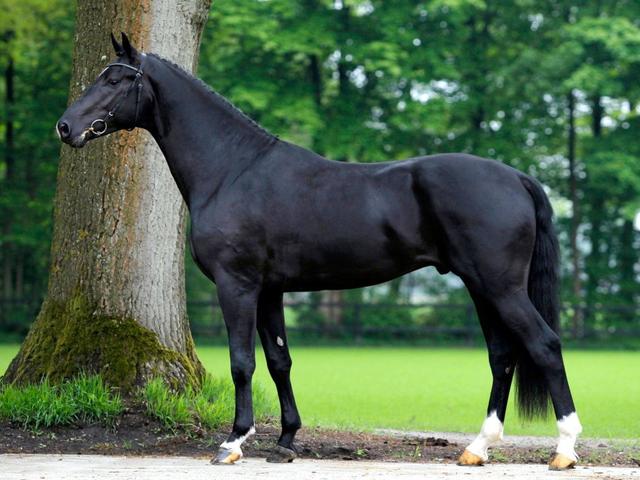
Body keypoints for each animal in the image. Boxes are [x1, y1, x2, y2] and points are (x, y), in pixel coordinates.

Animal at [57, 33, 582, 470]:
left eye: (116, 79)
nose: (66, 127)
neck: (232, 168)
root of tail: (517, 177)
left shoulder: (237, 286)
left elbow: (242, 362)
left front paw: (233, 442)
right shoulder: (270, 291)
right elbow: (279, 361)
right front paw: (286, 441)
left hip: (500, 286)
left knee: (544, 345)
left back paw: (564, 450)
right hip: (480, 286)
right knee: (503, 356)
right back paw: (477, 448)